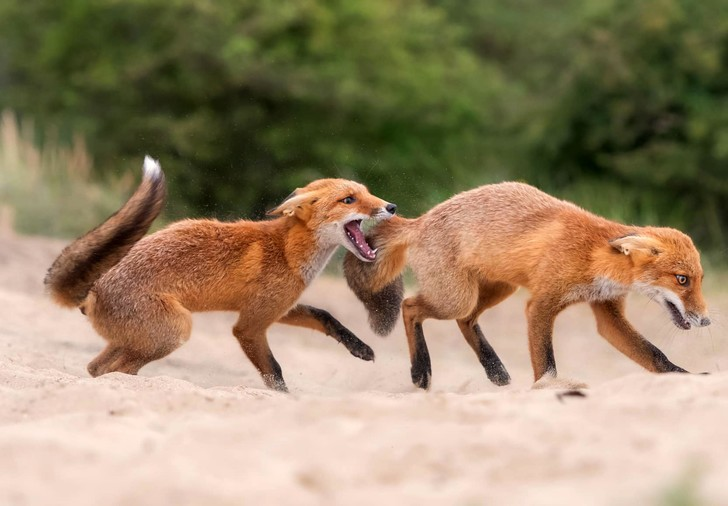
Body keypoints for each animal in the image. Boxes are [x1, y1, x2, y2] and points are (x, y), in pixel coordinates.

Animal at [44, 157, 398, 392]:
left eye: (368, 193)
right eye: (348, 199)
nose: (392, 206)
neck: (287, 250)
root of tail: (93, 289)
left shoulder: (275, 307)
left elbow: (324, 316)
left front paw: (359, 348)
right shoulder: (249, 326)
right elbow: (274, 372)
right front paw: (285, 400)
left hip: (136, 338)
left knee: (96, 368)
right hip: (176, 330)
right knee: (116, 371)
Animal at [342, 180, 712, 390]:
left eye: (699, 280)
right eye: (682, 280)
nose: (706, 320)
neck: (593, 255)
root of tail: (419, 221)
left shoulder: (608, 313)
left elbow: (656, 357)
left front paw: (689, 378)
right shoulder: (541, 304)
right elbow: (545, 361)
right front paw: (548, 388)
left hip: (494, 290)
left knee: (466, 321)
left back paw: (494, 369)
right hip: (456, 297)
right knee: (410, 307)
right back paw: (421, 370)